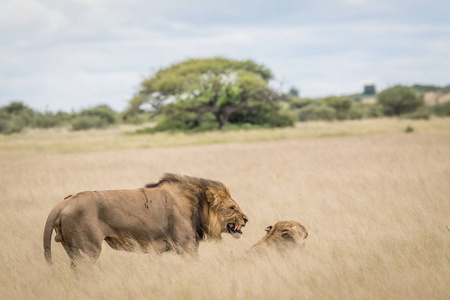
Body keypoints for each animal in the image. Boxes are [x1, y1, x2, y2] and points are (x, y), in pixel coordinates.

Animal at [44, 173, 248, 264]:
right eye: (232, 207)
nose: (246, 220)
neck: (196, 205)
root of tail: (63, 203)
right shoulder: (186, 245)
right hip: (87, 250)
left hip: (74, 250)